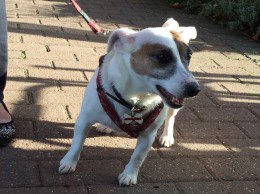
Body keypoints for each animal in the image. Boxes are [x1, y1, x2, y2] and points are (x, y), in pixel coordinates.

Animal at [59, 18, 200, 186]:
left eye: (189, 55)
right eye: (163, 57)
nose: (195, 89)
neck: (134, 98)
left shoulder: (148, 135)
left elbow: (137, 157)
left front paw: (129, 175)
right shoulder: (84, 120)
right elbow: (77, 144)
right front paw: (69, 162)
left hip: (171, 109)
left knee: (170, 119)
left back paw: (167, 136)